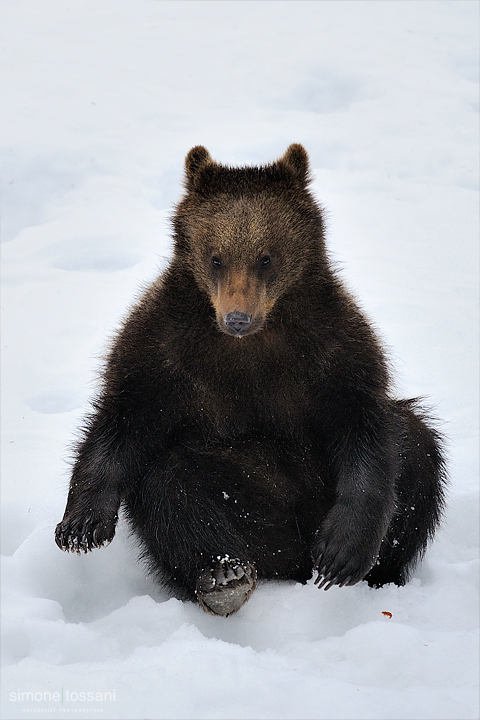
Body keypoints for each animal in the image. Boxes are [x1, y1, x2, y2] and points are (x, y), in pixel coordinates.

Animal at [53, 143, 446, 616]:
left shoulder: (333, 348)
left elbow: (365, 426)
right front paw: (80, 525)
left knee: (417, 446)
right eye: (216, 257)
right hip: (250, 500)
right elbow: (122, 420)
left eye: (266, 257)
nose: (237, 318)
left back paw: (379, 575)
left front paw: (342, 553)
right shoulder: (163, 349)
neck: (251, 349)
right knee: (170, 482)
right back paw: (223, 575)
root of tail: (291, 562)